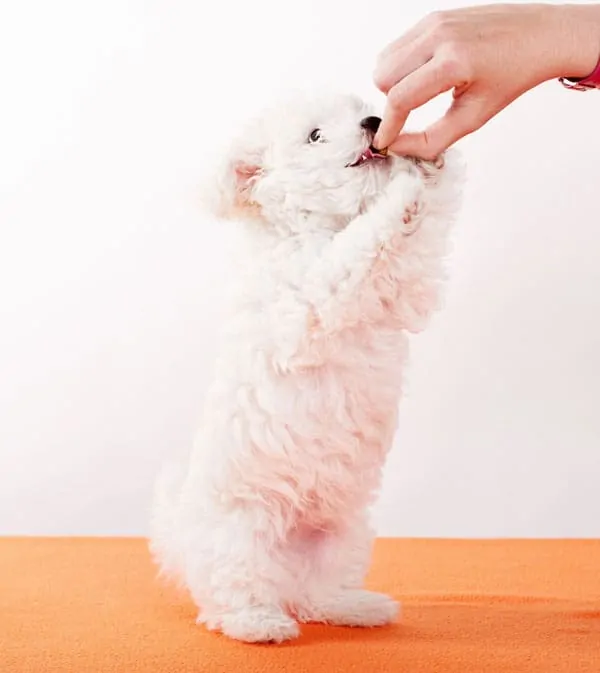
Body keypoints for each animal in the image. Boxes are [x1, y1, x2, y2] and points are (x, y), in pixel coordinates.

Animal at [150, 92, 464, 644]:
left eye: (362, 108)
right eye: (315, 135)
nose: (375, 121)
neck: (313, 227)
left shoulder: (407, 290)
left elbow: (416, 248)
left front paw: (428, 164)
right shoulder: (313, 295)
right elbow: (360, 246)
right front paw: (402, 189)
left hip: (344, 533)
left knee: (319, 593)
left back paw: (354, 607)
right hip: (241, 533)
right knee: (230, 592)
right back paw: (258, 623)